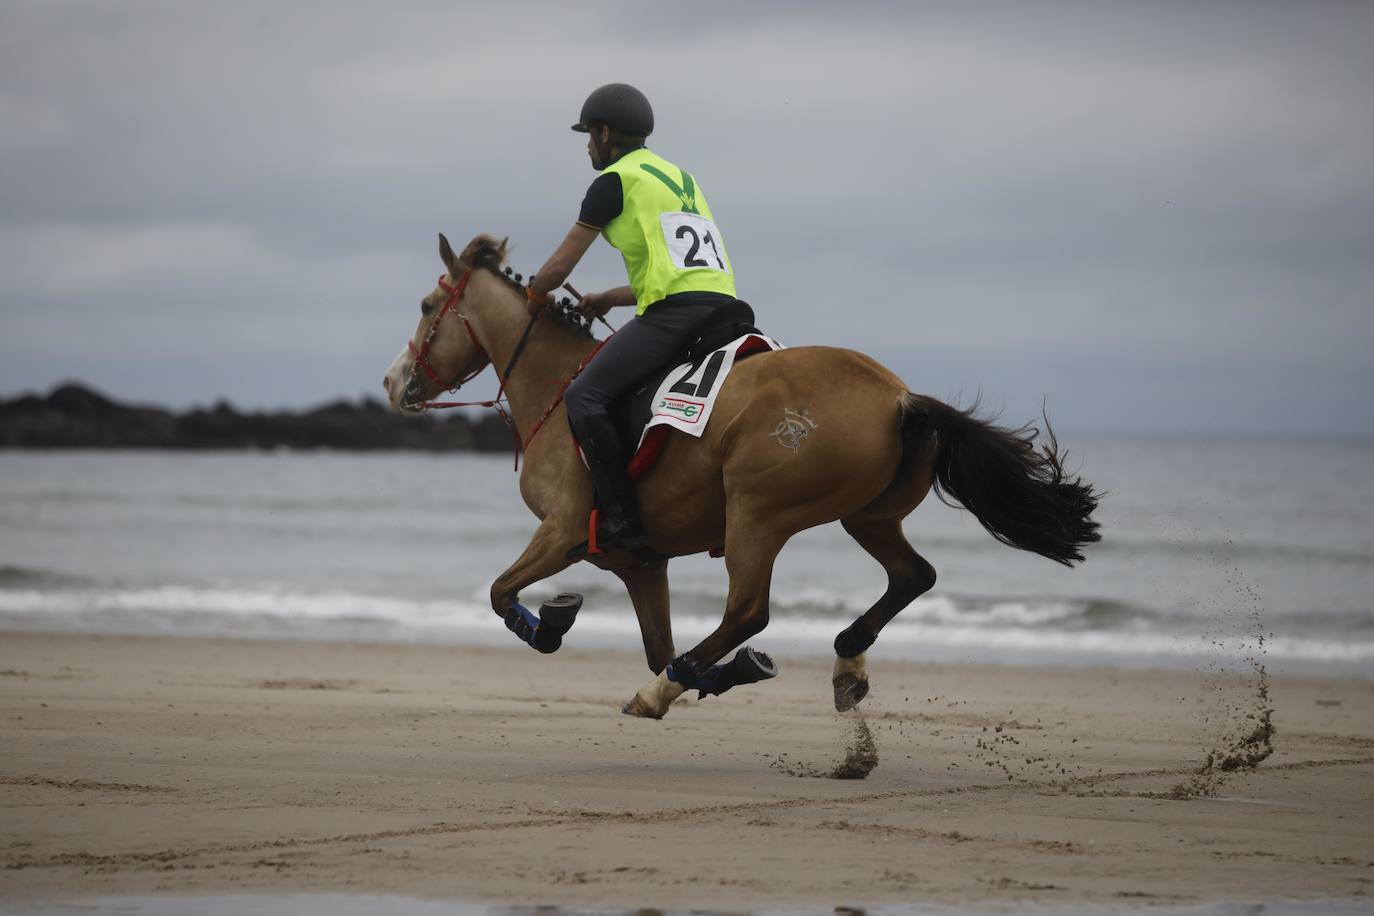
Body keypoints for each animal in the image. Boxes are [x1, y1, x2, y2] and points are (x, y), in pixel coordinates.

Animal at [381, 233, 1099, 719]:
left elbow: (501, 592)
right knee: (912, 575)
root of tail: (899, 398)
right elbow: (655, 639)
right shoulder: (640, 563)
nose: (394, 382)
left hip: (757, 512)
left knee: (749, 610)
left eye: (425, 303)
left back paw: (670, 688)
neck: (557, 388)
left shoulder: (560, 534)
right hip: (866, 514)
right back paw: (842, 661)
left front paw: (555, 624)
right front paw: (707, 675)